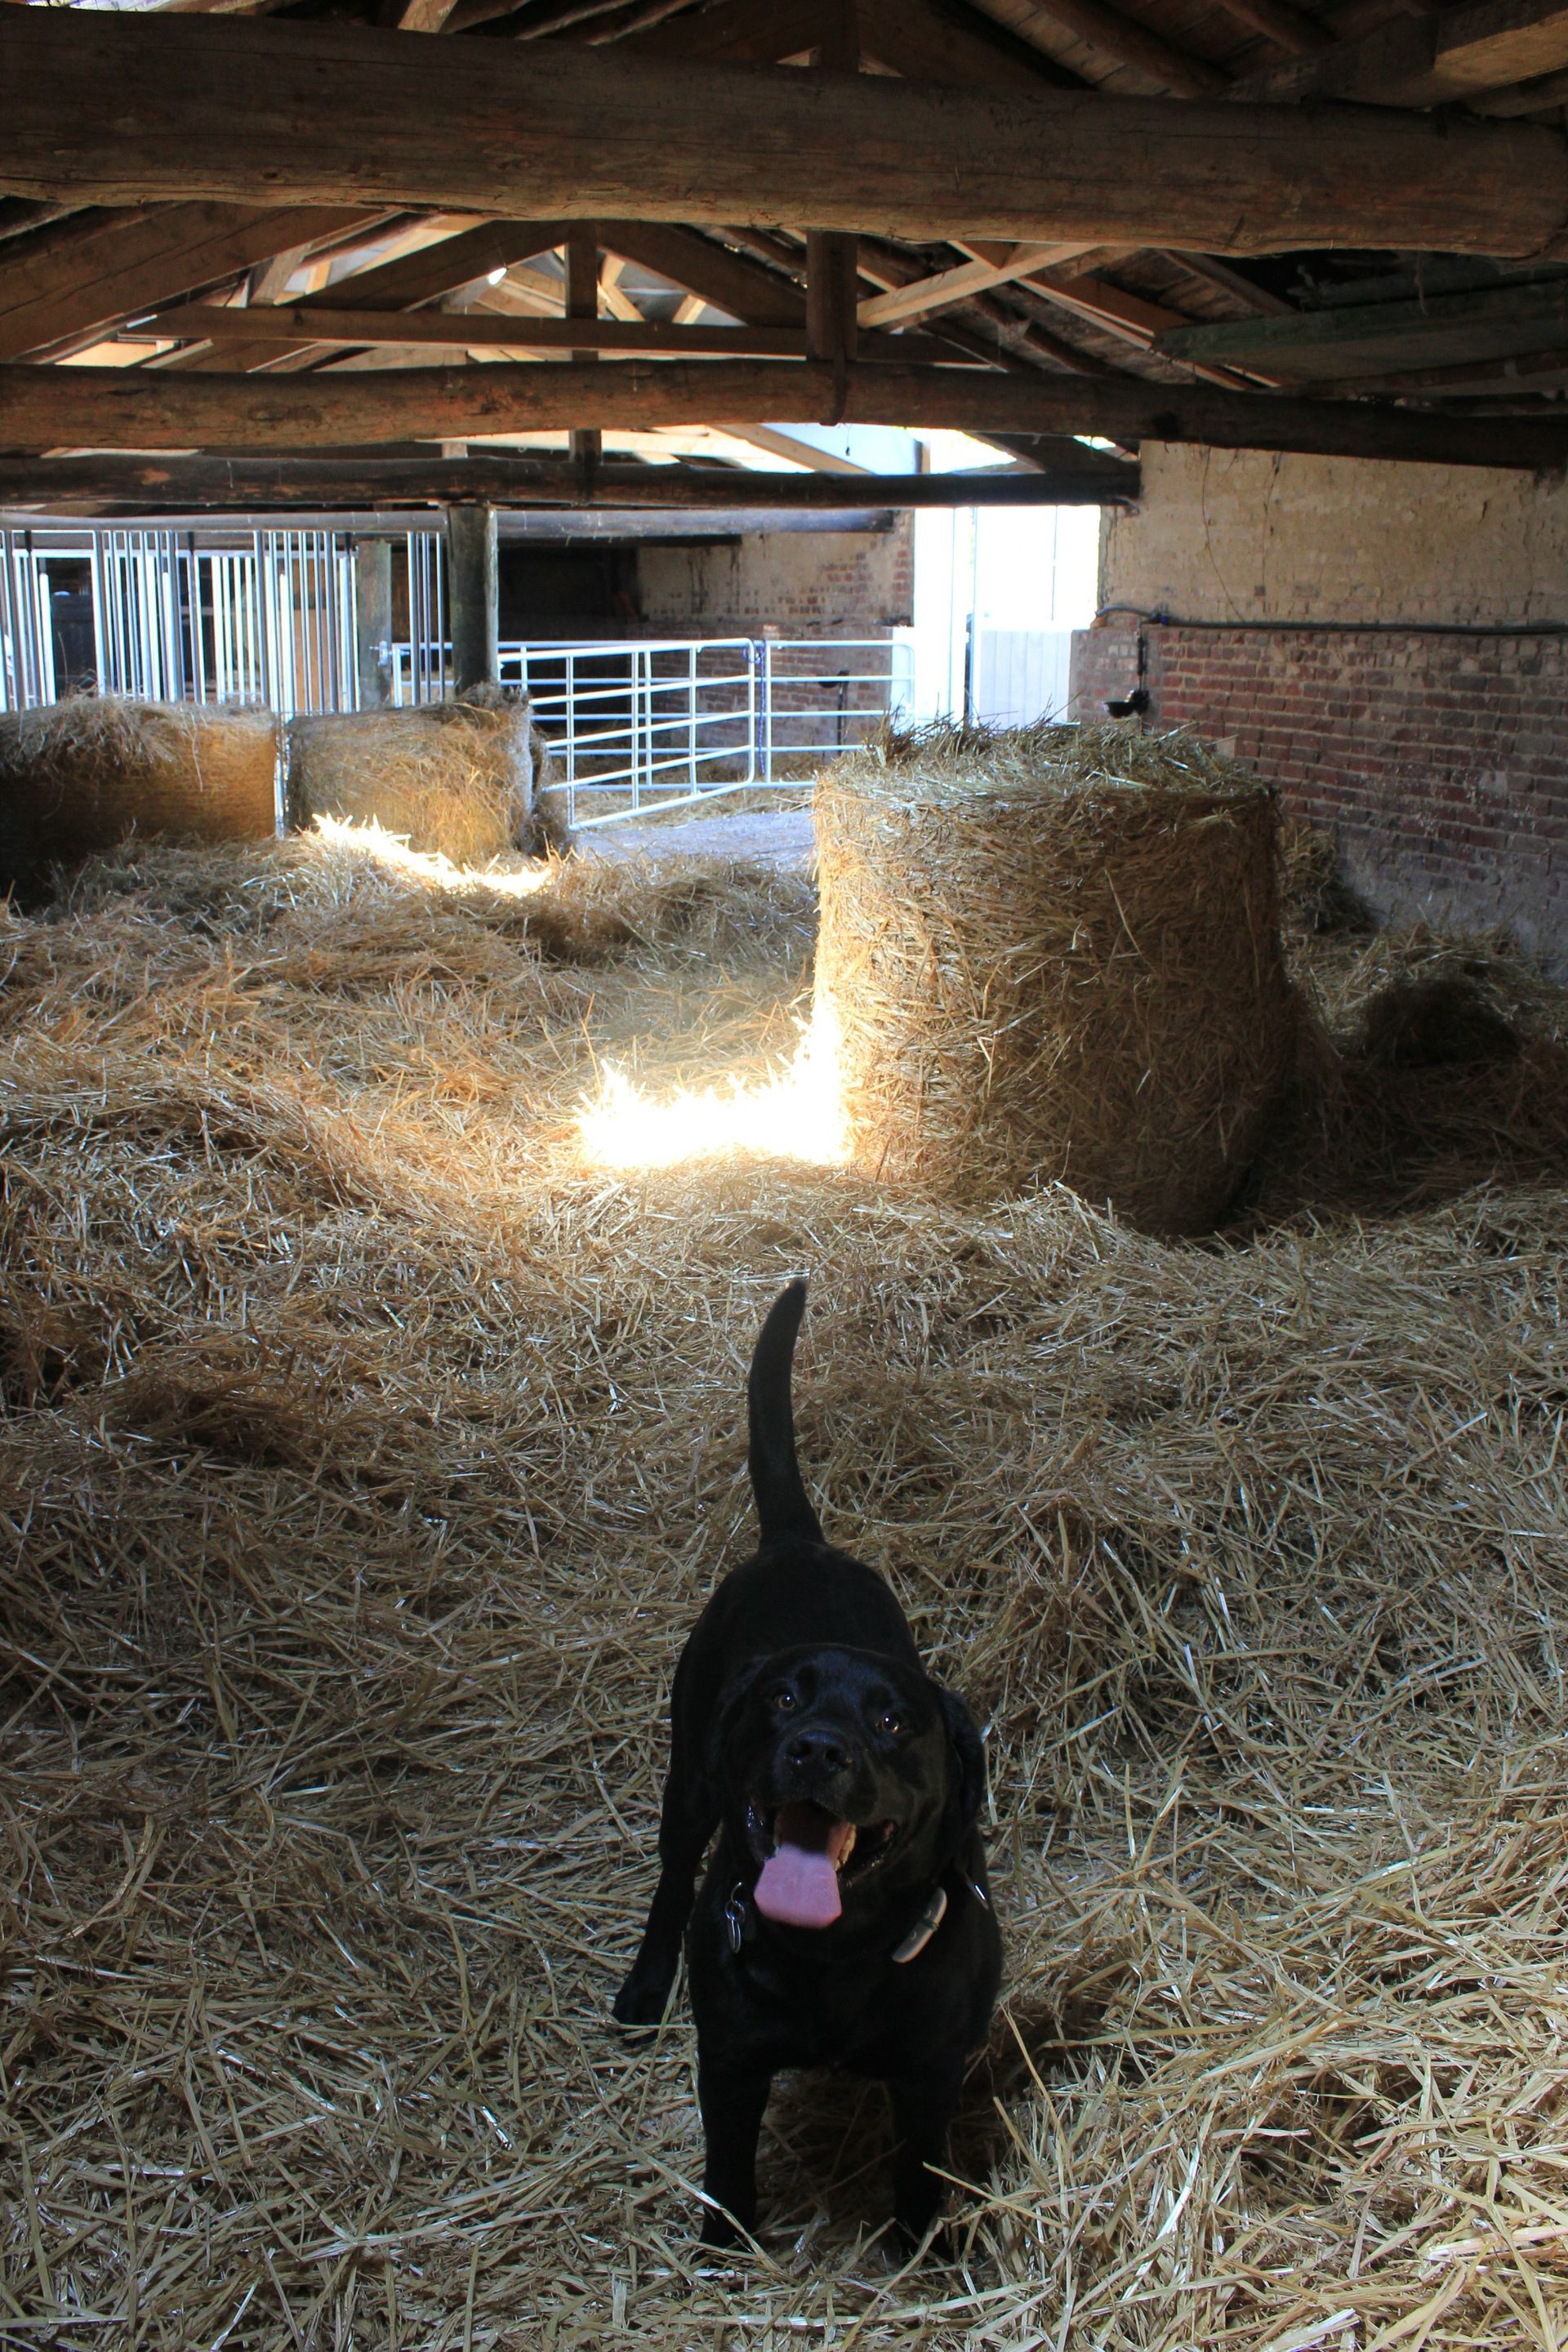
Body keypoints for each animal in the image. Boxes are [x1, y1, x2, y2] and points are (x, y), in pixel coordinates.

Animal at [613, 1279, 1002, 2251]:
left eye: (895, 1721)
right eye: (784, 1700)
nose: (819, 1748)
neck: (834, 1961)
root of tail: (798, 1542)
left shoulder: (931, 2072)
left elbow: (920, 2178)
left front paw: (920, 2256)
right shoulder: (732, 2061)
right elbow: (727, 2171)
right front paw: (724, 2254)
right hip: (690, 1784)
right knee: (672, 1879)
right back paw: (644, 1986)